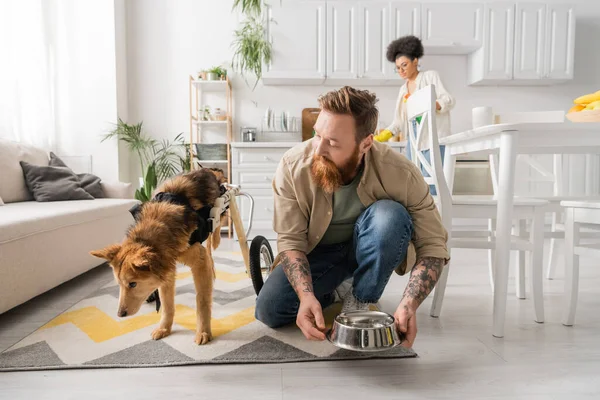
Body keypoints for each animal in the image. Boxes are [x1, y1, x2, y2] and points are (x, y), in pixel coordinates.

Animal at [90, 167, 226, 346]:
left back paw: (216, 238)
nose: (120, 314)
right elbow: (167, 305)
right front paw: (164, 328)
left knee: (218, 222)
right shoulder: (167, 271)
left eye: (132, 284)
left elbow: (202, 302)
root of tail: (207, 169)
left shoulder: (199, 263)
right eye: (119, 284)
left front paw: (203, 332)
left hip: (219, 206)